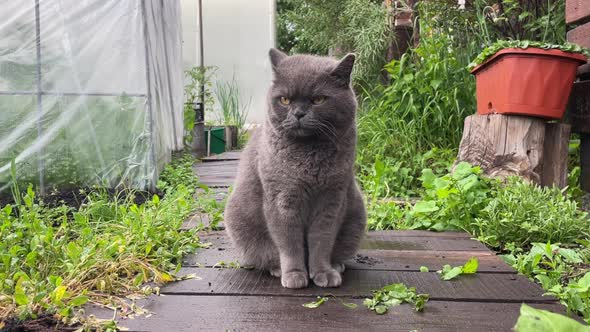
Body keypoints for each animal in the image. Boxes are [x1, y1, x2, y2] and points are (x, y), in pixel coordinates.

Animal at [224, 48, 368, 290]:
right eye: (285, 99)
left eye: (318, 99)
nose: (299, 113)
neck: (309, 158)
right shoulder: (282, 199)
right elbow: (289, 243)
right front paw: (294, 275)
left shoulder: (332, 199)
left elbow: (322, 241)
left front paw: (323, 273)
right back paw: (276, 269)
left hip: (356, 217)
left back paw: (336, 265)